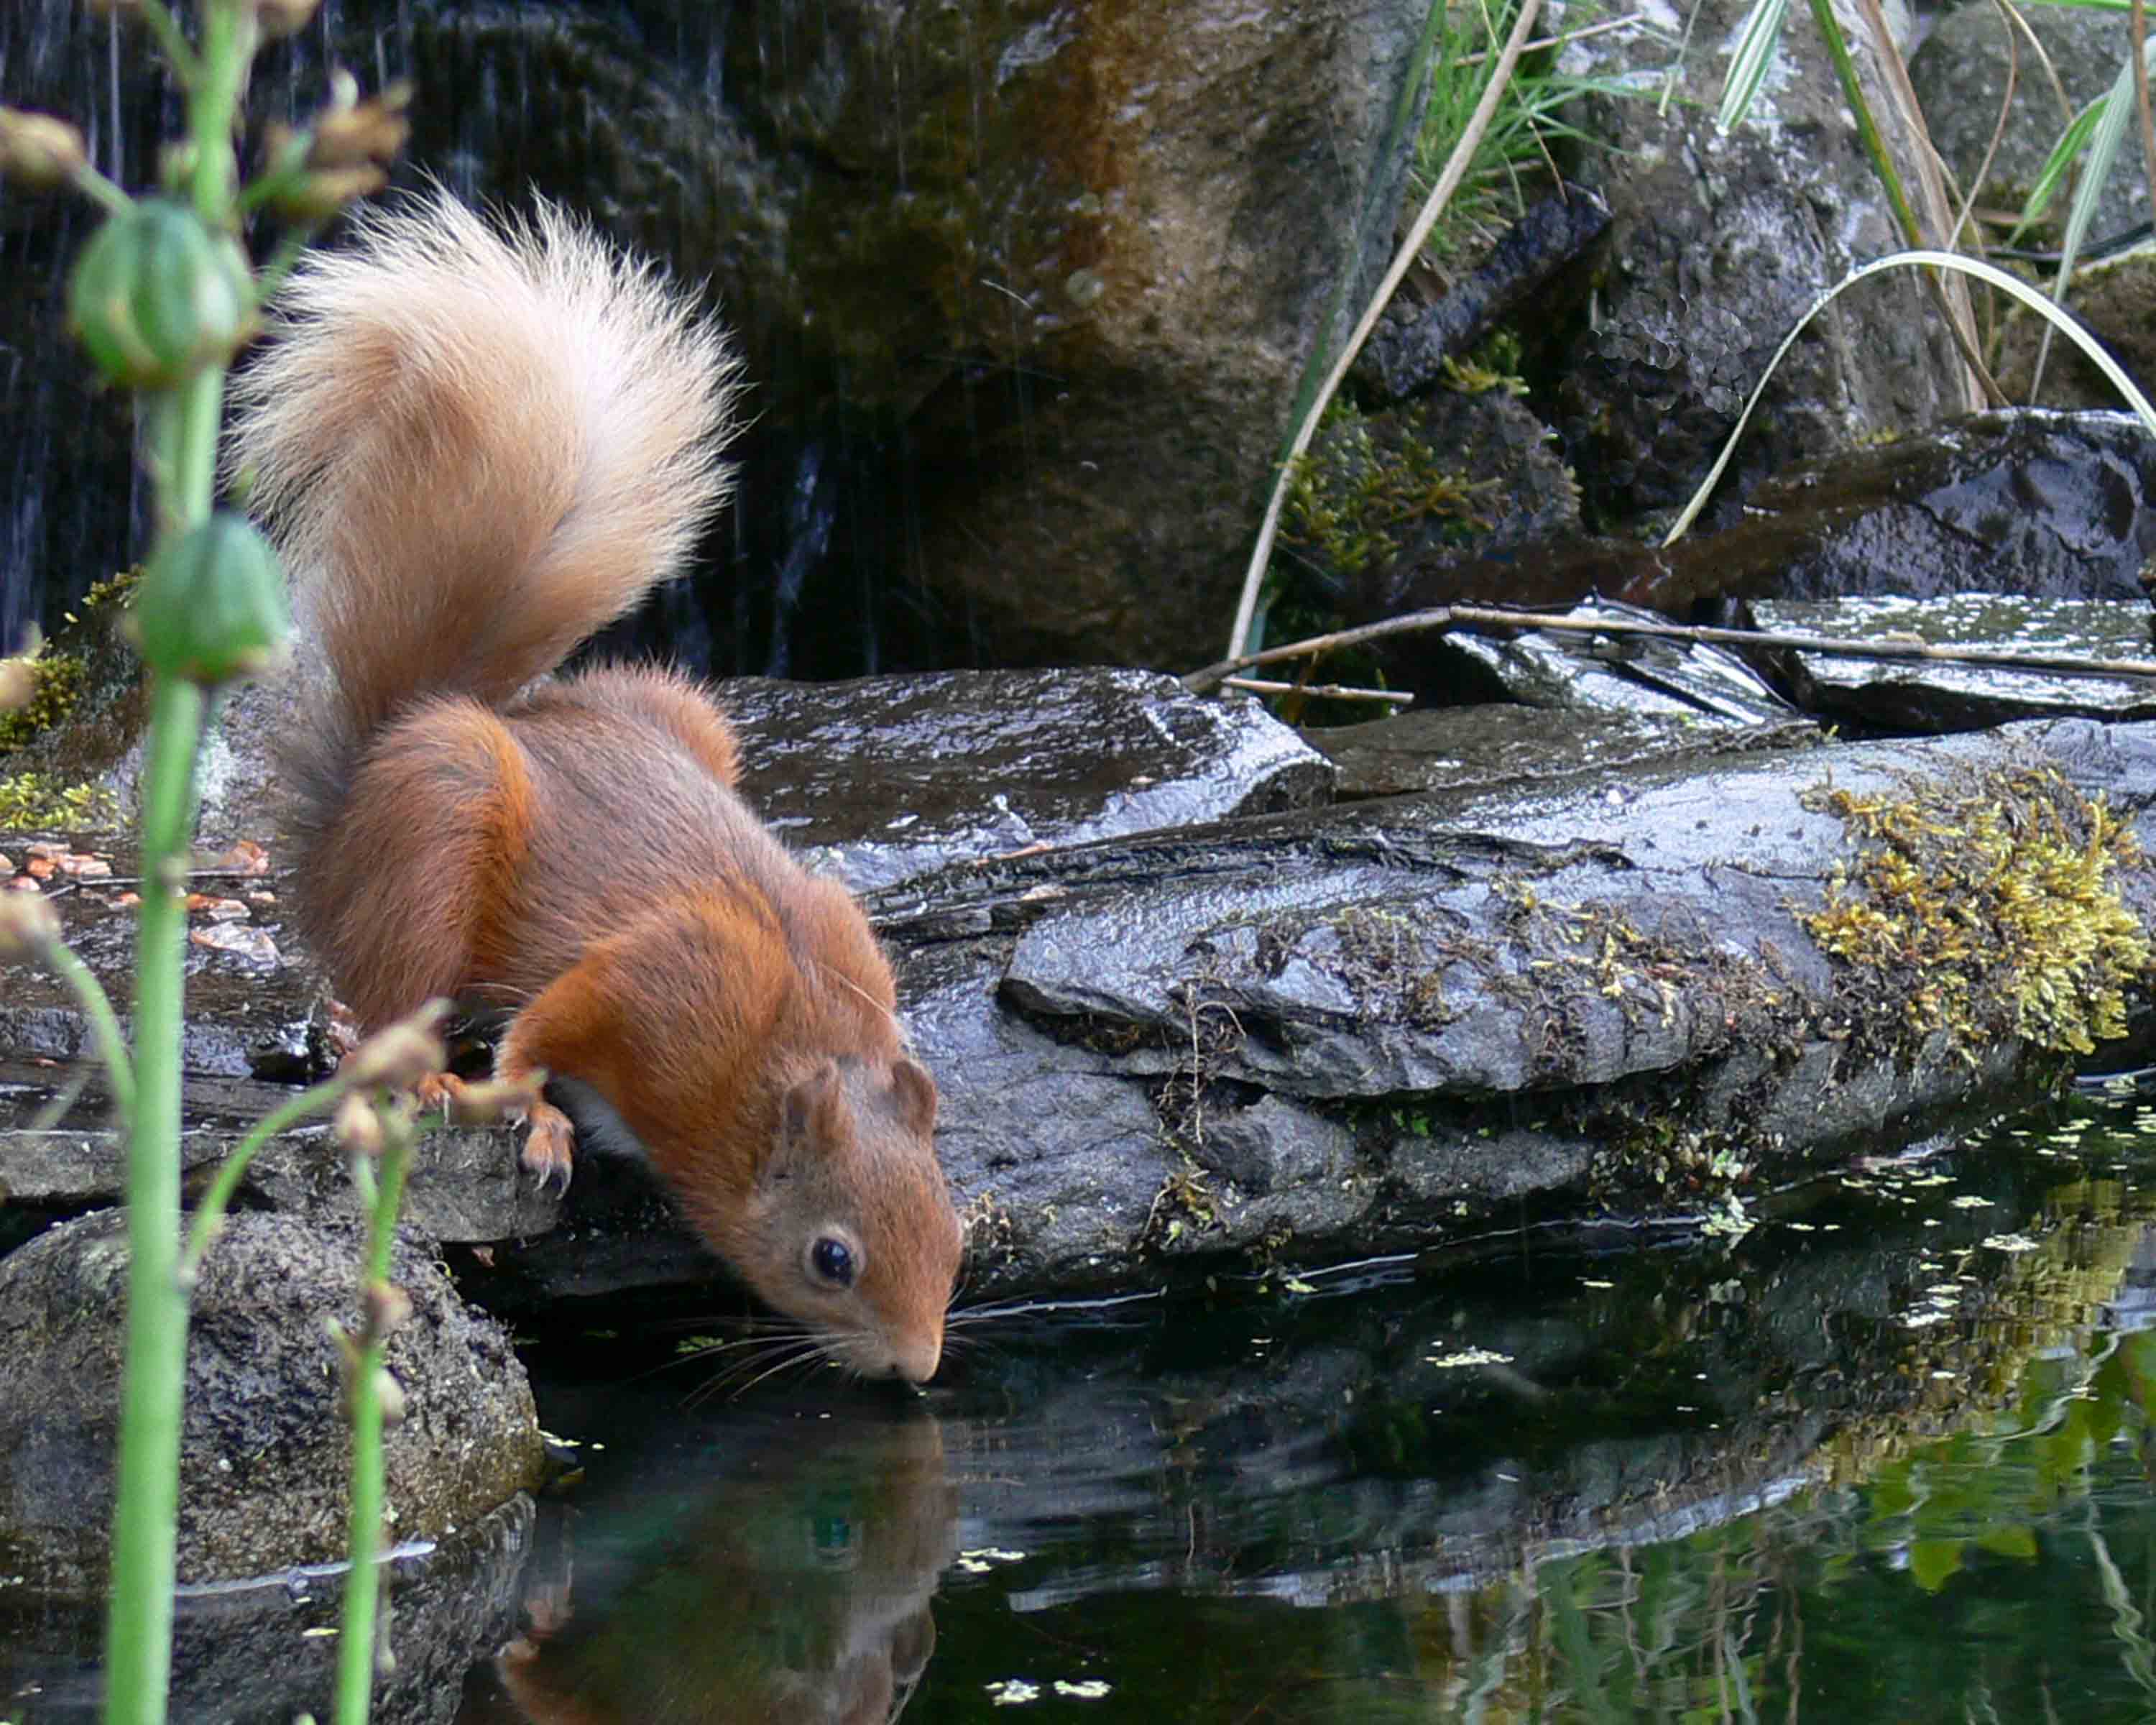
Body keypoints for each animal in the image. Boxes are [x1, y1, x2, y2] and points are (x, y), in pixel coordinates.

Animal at [225, 192, 964, 1385]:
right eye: (832, 1259)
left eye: (954, 1230)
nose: (917, 1368)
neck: (782, 1048)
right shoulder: (660, 983)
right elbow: (542, 1028)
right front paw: (532, 1113)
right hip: (438, 820)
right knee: (386, 1006)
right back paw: (429, 1077)